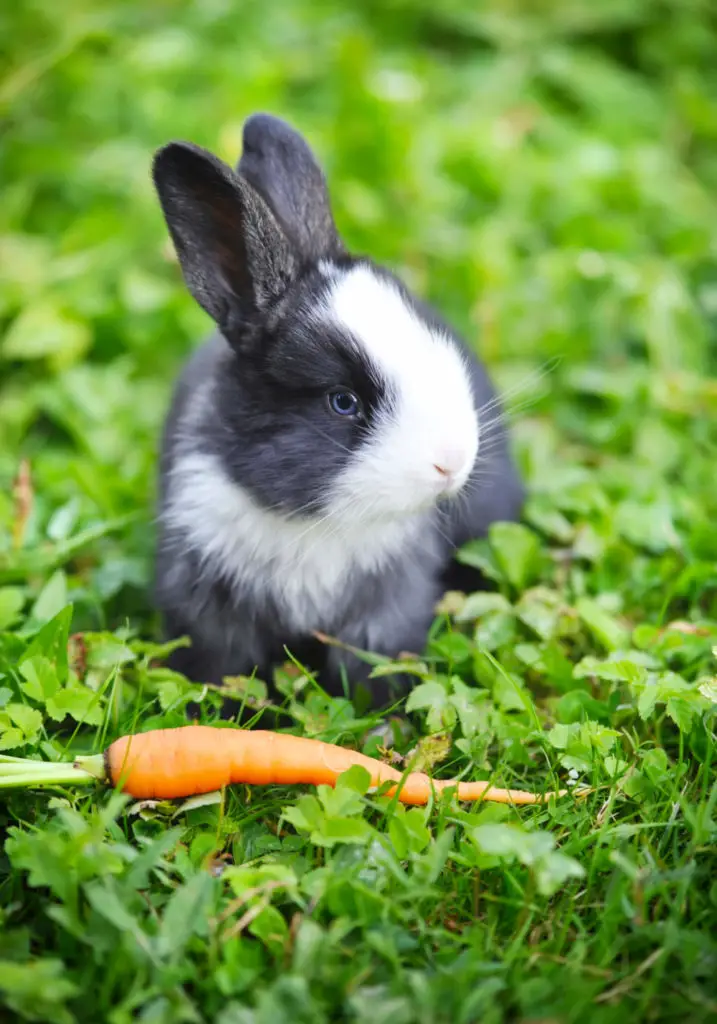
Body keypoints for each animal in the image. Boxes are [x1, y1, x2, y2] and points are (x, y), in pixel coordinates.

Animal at [151, 112, 524, 704]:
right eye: (343, 402)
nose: (451, 463)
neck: (314, 521)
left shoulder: (384, 613)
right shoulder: (207, 605)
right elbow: (222, 669)